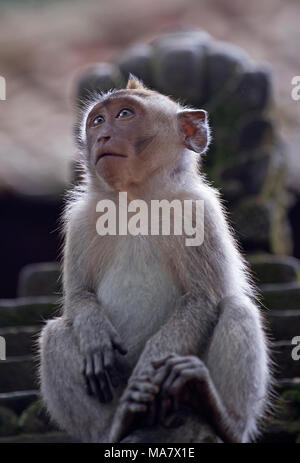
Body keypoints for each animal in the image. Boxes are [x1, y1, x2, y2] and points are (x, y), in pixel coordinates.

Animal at [38, 75, 270, 442]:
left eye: (124, 114)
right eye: (98, 120)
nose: (102, 136)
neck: (138, 199)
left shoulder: (199, 212)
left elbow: (201, 299)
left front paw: (148, 373)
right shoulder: (81, 220)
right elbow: (78, 297)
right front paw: (93, 333)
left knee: (236, 309)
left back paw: (220, 414)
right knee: (56, 334)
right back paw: (118, 425)